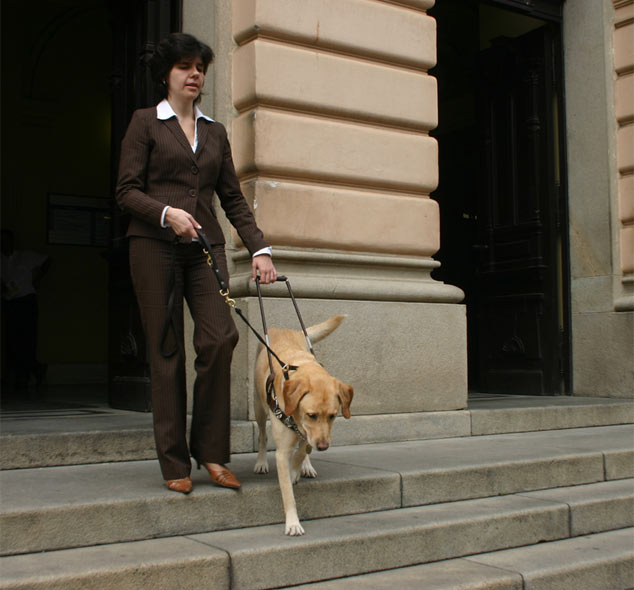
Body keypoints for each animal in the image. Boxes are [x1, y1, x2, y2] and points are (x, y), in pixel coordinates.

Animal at [251, 314, 350, 536]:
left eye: (333, 416)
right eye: (311, 415)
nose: (323, 446)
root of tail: (282, 329)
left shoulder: (310, 435)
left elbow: (302, 451)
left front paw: (296, 469)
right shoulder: (282, 451)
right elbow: (288, 492)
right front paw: (293, 523)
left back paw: (306, 466)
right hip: (259, 407)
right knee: (262, 435)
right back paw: (261, 462)